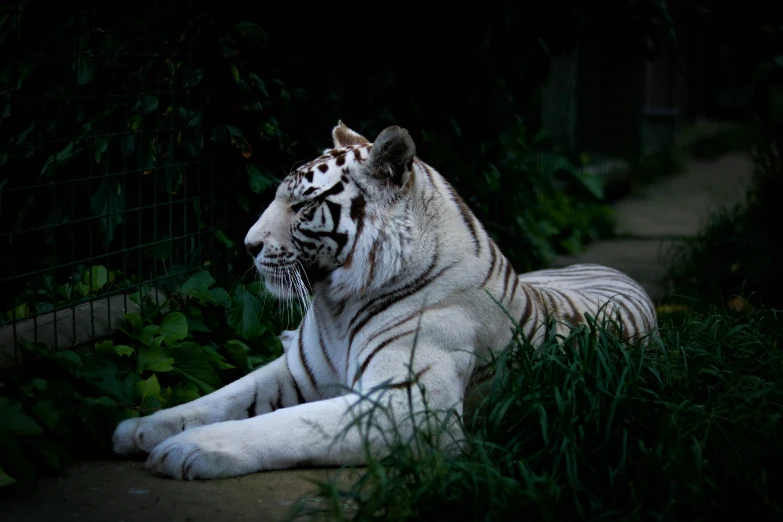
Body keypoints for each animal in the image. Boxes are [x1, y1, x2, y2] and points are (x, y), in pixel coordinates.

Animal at [113, 120, 660, 478]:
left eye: (304, 205)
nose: (248, 245)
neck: (336, 305)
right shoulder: (298, 372)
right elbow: (222, 396)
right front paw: (140, 428)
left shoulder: (407, 405)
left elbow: (285, 424)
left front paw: (189, 449)